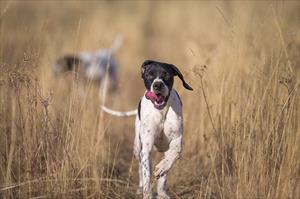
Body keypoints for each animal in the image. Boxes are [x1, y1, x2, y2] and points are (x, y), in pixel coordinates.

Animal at [102, 59, 192, 198]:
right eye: (150, 75)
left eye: (166, 74)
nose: (157, 85)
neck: (161, 111)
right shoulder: (146, 148)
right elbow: (146, 176)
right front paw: (147, 194)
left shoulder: (177, 139)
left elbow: (174, 154)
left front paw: (162, 169)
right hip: (138, 147)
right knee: (141, 168)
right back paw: (141, 188)